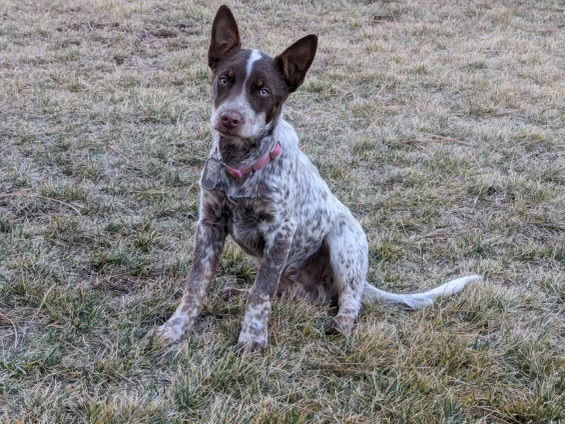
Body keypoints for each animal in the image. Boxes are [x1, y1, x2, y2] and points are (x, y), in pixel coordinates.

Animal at [156, 4, 482, 352]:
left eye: (263, 90)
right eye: (223, 79)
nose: (229, 117)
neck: (241, 163)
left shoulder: (281, 231)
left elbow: (261, 294)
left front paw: (253, 339)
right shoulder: (209, 225)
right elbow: (196, 286)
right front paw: (176, 327)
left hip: (343, 242)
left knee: (347, 300)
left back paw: (341, 324)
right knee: (287, 293)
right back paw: (239, 293)